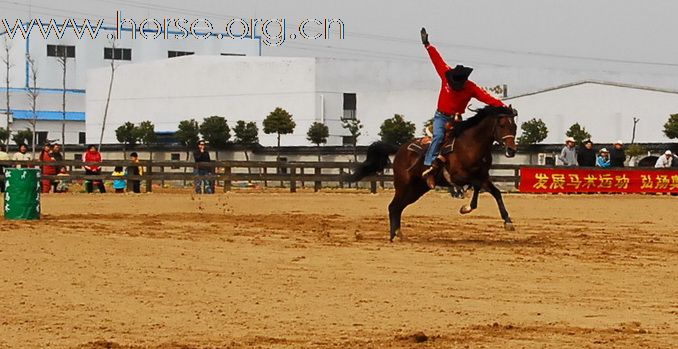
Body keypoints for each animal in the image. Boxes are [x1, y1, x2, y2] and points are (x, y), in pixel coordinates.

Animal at [350, 104, 520, 241]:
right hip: (403, 185)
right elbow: (477, 186)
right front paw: (466, 207)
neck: (470, 145)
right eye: (502, 124)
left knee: (398, 207)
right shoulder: (459, 177)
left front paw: (507, 221)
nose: (511, 150)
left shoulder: (484, 176)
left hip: (417, 189)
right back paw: (394, 236)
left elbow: (495, 192)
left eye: (515, 126)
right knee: (393, 207)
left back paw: (397, 235)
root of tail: (399, 149)